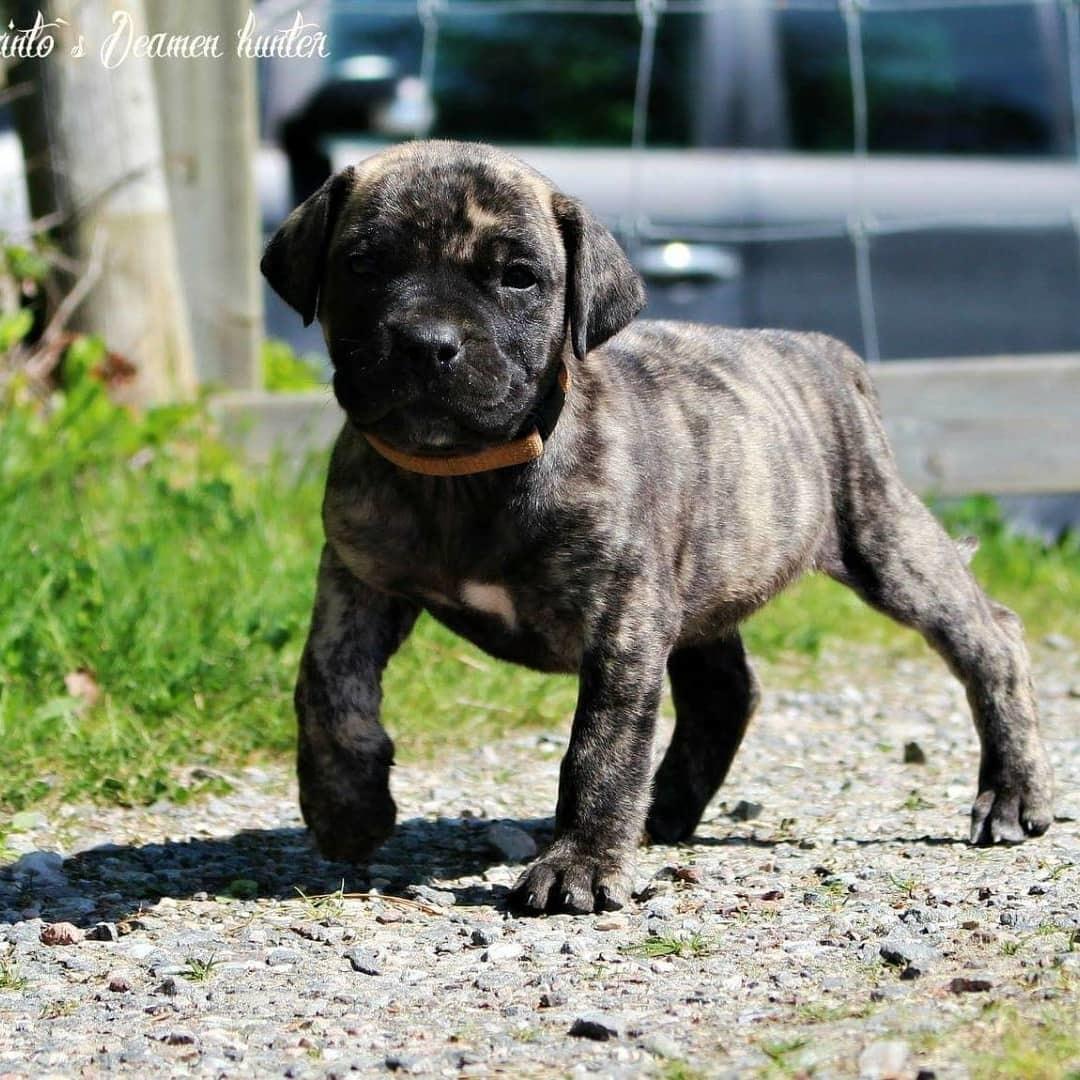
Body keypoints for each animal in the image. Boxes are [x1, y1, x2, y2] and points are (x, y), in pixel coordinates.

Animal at [261, 137, 1054, 911]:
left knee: (991, 638)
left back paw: (1012, 794)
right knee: (724, 692)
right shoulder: (357, 577)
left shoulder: (623, 617)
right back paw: (664, 808)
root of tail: (822, 351)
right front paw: (346, 808)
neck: (465, 474)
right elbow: (327, 686)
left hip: (885, 541)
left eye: (518, 277)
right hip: (709, 573)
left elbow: (603, 744)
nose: (427, 343)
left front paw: (578, 865)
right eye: (362, 264)